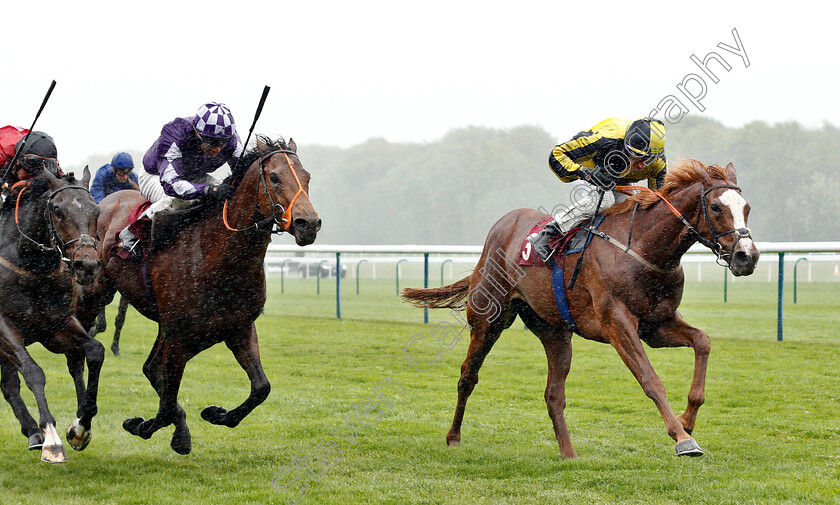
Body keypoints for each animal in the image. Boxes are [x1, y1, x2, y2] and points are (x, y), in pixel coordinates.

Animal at [0, 169, 104, 460]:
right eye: (58, 211)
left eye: (96, 210)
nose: (87, 265)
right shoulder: (4, 328)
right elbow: (33, 372)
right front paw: (52, 438)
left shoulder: (56, 326)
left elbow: (95, 351)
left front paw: (80, 427)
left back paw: (33, 431)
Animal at [75, 136, 320, 454]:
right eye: (275, 177)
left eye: (307, 177)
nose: (309, 224)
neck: (218, 257)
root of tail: (104, 202)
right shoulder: (179, 337)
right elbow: (166, 402)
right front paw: (141, 425)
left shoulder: (238, 328)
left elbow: (261, 388)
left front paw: (215, 414)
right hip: (96, 290)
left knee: (150, 367)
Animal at [404, 160, 764, 456]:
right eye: (715, 207)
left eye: (746, 208)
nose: (747, 256)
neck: (644, 249)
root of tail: (502, 227)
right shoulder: (618, 324)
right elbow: (650, 379)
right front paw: (683, 438)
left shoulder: (656, 325)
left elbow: (703, 341)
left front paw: (688, 418)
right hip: (488, 319)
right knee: (468, 375)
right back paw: (453, 437)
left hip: (554, 332)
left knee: (553, 394)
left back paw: (568, 453)